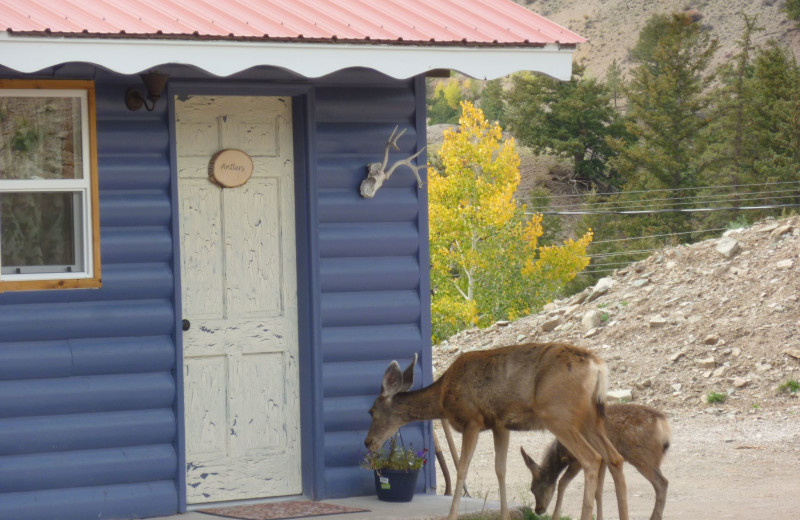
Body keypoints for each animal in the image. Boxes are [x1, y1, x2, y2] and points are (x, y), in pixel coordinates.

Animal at [364, 342, 632, 520]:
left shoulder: (472, 419)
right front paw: (504, 515)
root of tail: (598, 367)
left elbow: (462, 470)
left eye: (371, 411)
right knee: (615, 458)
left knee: (592, 459)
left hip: (558, 415)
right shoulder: (500, 424)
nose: (368, 442)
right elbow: (500, 470)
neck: (443, 398)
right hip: (591, 418)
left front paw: (452, 515)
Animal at [520, 404, 668, 516]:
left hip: (641, 456)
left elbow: (562, 483)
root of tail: (665, 426)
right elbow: (598, 492)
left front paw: (555, 516)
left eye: (533, 488)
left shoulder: (577, 460)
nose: (538, 510)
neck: (560, 452)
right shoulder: (602, 461)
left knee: (662, 483)